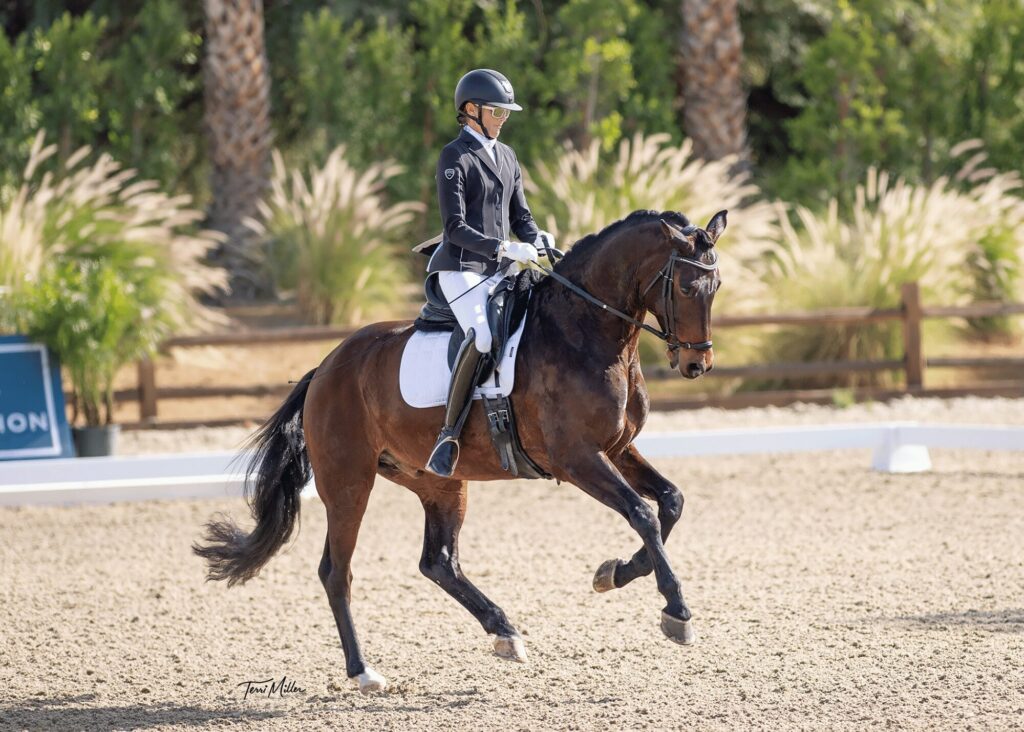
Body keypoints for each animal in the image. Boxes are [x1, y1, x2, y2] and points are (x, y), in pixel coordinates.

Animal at [194, 208, 726, 693]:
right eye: (684, 288)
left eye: (715, 287)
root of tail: (325, 368)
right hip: (348, 483)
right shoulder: (577, 458)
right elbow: (643, 513)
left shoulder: (617, 449)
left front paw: (612, 574)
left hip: (439, 482)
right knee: (336, 572)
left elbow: (671, 502)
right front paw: (677, 612)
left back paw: (504, 631)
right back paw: (364, 672)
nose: (696, 365)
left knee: (438, 562)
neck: (587, 332)